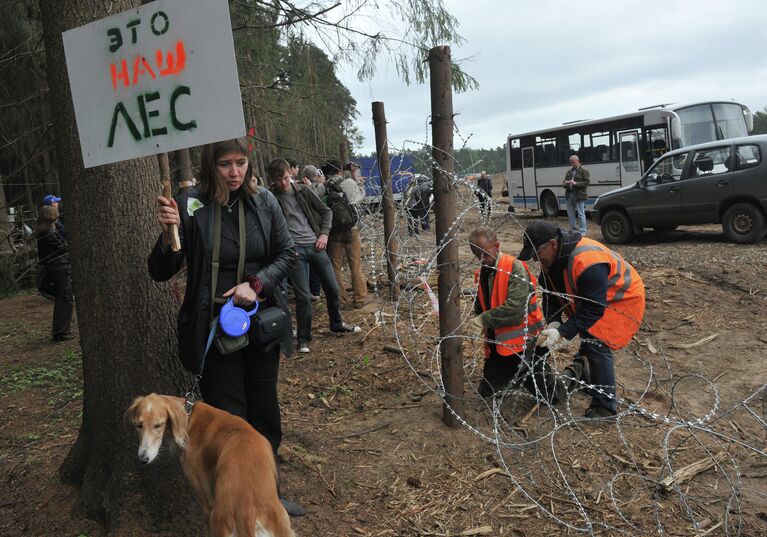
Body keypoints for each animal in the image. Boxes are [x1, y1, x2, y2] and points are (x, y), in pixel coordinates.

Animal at [127, 394, 296, 536]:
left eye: (158, 425)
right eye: (138, 425)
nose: (143, 459)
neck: (188, 418)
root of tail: (247, 512)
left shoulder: (203, 496)